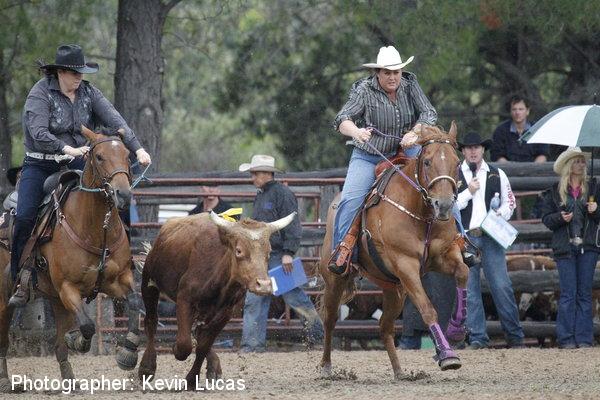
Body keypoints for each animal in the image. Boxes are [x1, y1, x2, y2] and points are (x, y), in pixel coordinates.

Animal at [0, 127, 137, 390]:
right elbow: (87, 325)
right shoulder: (68, 288)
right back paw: (4, 380)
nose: (123, 194)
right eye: (99, 157)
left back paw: (69, 380)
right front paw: (77, 340)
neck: (95, 229)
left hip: (54, 298)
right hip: (5, 296)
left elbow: (135, 305)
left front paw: (128, 353)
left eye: (127, 155)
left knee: (58, 347)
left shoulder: (116, 280)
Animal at [318, 123, 468, 380]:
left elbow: (463, 272)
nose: (444, 205)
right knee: (330, 319)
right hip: (335, 279)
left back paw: (399, 371)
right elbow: (428, 309)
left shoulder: (443, 256)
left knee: (385, 327)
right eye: (427, 162)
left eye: (457, 162)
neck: (421, 213)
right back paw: (326, 366)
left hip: (395, 289)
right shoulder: (406, 265)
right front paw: (448, 356)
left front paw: (457, 330)